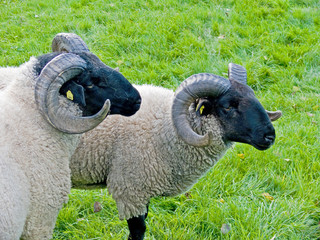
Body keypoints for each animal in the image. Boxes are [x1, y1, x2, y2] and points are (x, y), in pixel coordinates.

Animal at [70, 62, 282, 239]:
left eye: (253, 96)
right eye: (228, 106)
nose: (269, 136)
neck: (167, 127)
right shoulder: (131, 190)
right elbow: (138, 232)